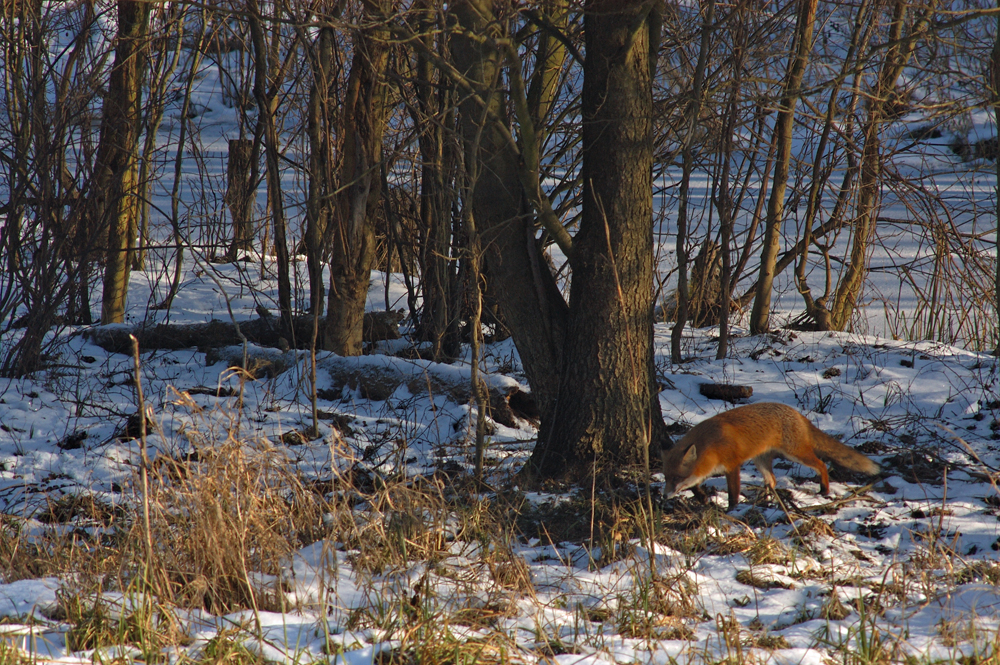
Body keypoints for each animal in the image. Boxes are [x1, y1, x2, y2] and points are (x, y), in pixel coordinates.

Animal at [660, 402, 880, 510]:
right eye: (667, 478)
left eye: (676, 477)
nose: (664, 496)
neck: (711, 443)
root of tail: (796, 413)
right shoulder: (706, 468)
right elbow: (694, 484)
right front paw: (702, 498)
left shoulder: (732, 466)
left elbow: (733, 494)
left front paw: (732, 510)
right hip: (761, 460)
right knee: (772, 479)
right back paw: (766, 498)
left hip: (796, 454)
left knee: (821, 464)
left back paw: (824, 490)